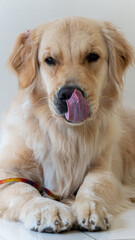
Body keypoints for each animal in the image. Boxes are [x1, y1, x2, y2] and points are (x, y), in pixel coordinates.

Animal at [0, 17, 135, 232]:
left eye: (92, 56)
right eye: (50, 60)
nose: (68, 93)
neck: (66, 135)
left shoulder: (105, 168)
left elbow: (94, 184)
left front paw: (90, 208)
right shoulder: (8, 171)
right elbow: (23, 189)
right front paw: (48, 209)